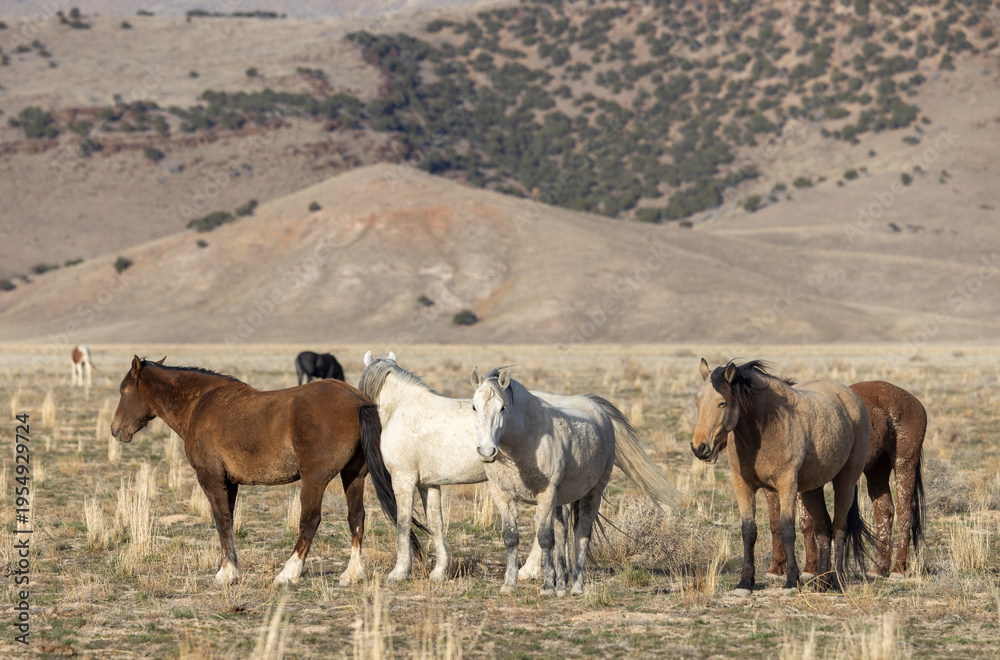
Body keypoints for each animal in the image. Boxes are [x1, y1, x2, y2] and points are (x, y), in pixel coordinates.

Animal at [110, 356, 402, 587]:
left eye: (123, 390)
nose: (116, 430)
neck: (199, 404)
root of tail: (358, 400)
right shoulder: (230, 483)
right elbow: (228, 519)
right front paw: (229, 567)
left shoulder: (211, 478)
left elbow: (221, 520)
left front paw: (226, 573)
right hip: (353, 476)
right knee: (357, 518)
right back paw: (352, 573)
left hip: (314, 480)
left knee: (310, 521)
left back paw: (288, 573)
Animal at [471, 366, 684, 596]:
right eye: (474, 406)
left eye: (502, 408)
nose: (487, 451)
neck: (524, 439)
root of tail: (598, 409)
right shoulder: (502, 495)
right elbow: (511, 538)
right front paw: (509, 585)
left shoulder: (546, 495)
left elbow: (545, 539)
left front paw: (547, 588)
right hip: (562, 499)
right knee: (562, 533)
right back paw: (562, 586)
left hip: (592, 494)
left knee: (582, 533)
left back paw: (576, 586)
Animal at [691, 359, 872, 594]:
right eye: (697, 401)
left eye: (722, 403)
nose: (699, 447)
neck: (765, 429)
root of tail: (851, 396)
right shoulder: (743, 485)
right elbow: (749, 530)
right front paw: (744, 582)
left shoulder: (787, 485)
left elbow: (787, 529)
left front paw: (791, 581)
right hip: (813, 489)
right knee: (824, 530)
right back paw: (820, 583)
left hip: (845, 482)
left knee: (840, 529)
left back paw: (838, 582)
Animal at [765, 380, 927, 579]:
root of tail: (913, 400)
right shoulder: (771, 490)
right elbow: (775, 524)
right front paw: (776, 568)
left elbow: (806, 523)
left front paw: (810, 569)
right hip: (877, 467)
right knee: (884, 510)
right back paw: (878, 568)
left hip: (904, 463)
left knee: (905, 511)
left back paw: (898, 569)